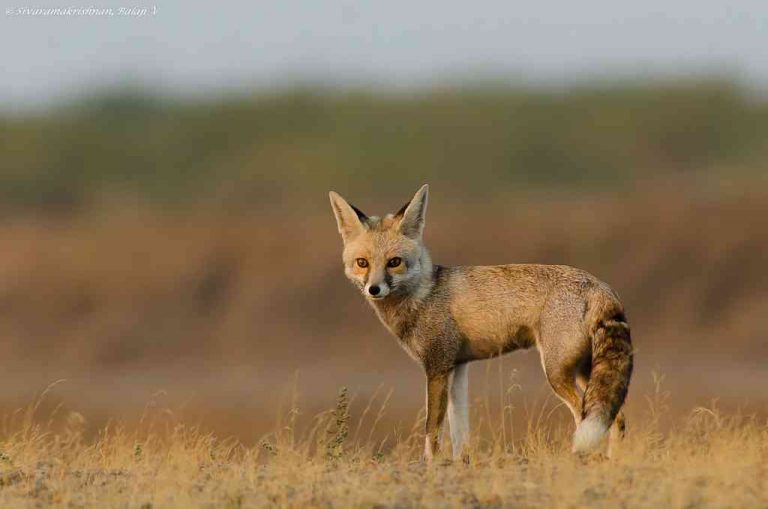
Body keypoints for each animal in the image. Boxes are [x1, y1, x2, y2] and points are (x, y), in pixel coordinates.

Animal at [328, 185, 632, 458]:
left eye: (394, 262)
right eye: (362, 263)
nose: (374, 289)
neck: (424, 294)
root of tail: (600, 285)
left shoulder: (436, 367)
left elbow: (432, 431)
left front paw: (431, 467)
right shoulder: (458, 369)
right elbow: (459, 432)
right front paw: (460, 465)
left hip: (558, 373)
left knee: (584, 417)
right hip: (587, 372)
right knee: (616, 418)